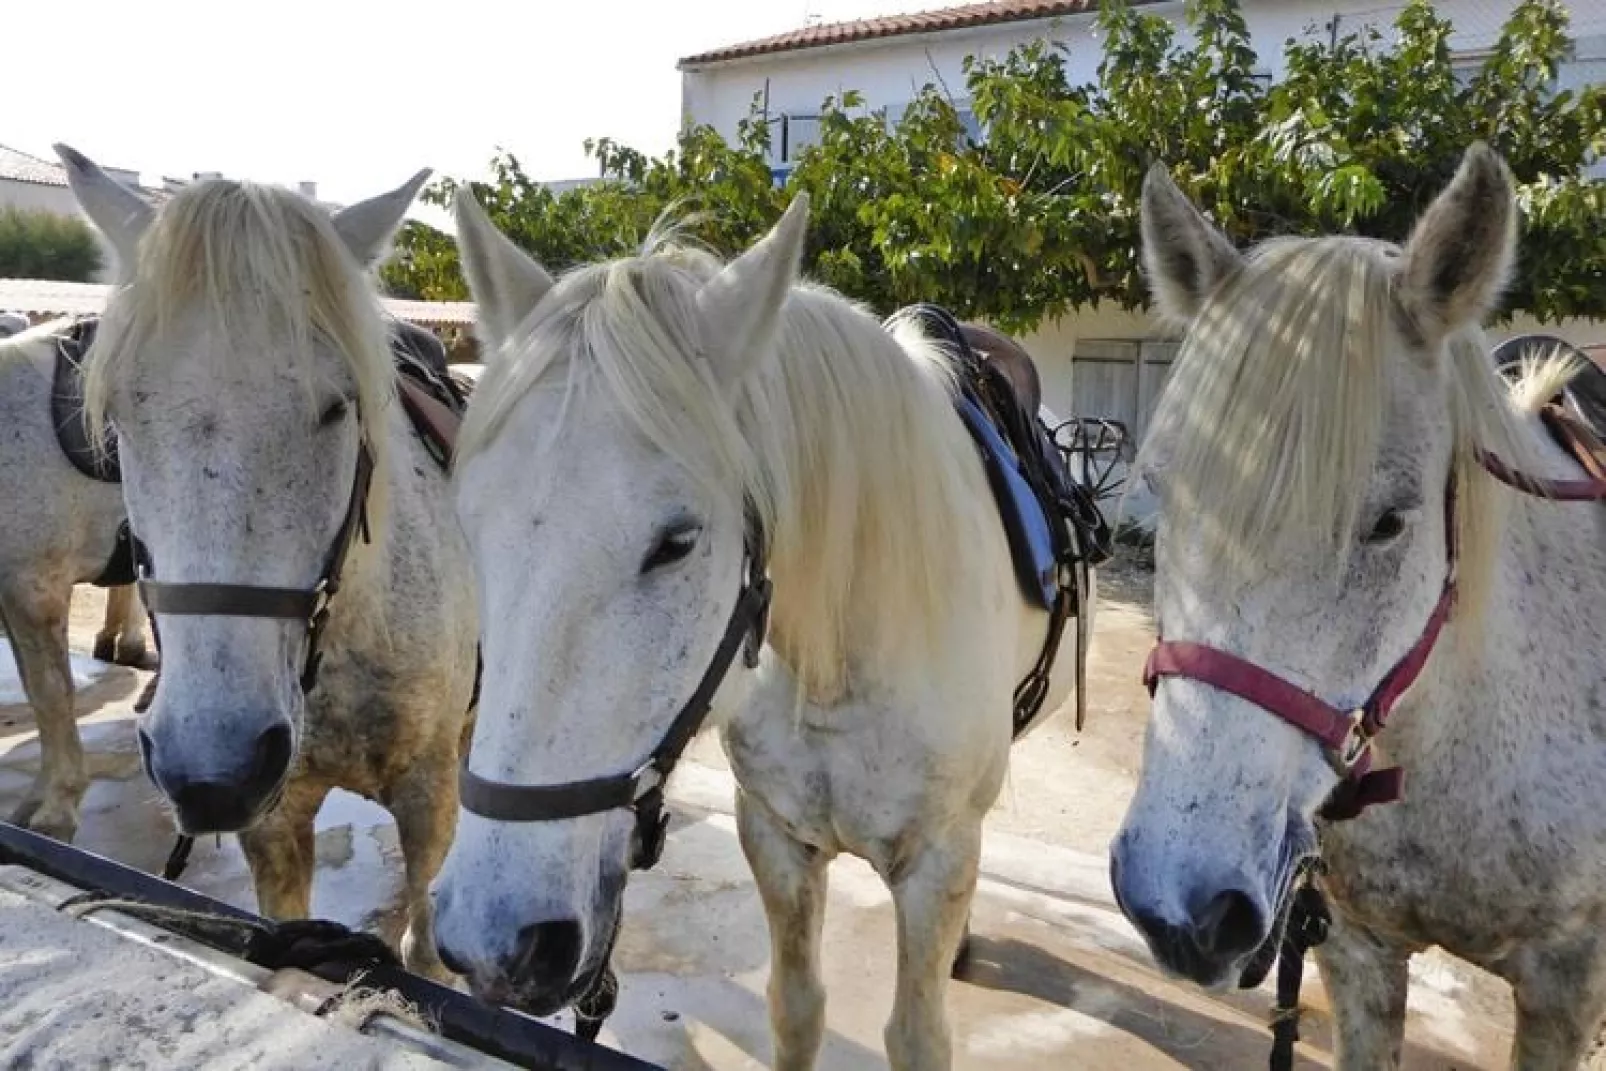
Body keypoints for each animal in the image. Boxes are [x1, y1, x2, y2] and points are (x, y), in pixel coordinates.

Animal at [62, 148, 475, 982]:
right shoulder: (275, 823)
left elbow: (423, 947)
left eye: (338, 407)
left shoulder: (429, 800)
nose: (212, 771)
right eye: (120, 414)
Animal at [430, 196, 1092, 1066]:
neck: (838, 662)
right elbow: (795, 1007)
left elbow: (917, 1034)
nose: (491, 940)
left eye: (679, 540)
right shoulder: (774, 836)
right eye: (469, 523)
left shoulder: (935, 860)